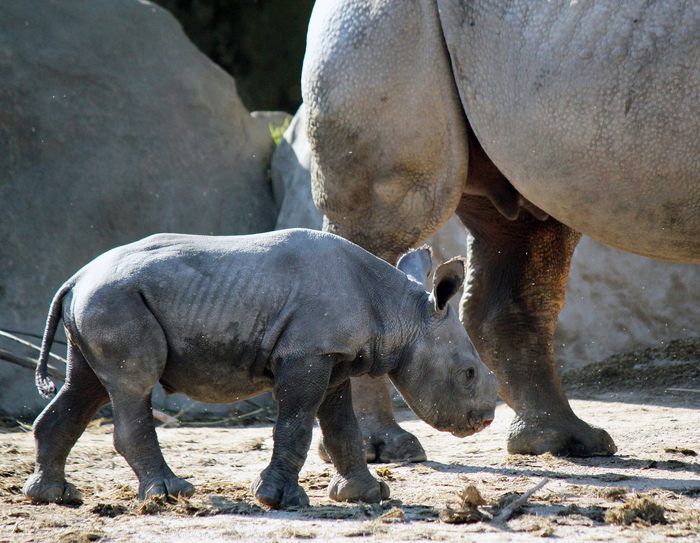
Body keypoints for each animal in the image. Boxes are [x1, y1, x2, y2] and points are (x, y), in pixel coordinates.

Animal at [24, 228, 498, 510]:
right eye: (468, 374)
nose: (484, 419)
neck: (400, 310)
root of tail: (76, 277)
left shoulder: (333, 357)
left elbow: (342, 427)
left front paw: (367, 495)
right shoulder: (307, 354)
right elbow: (296, 425)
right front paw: (279, 500)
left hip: (97, 303)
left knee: (84, 387)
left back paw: (53, 496)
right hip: (114, 301)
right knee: (131, 385)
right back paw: (171, 494)